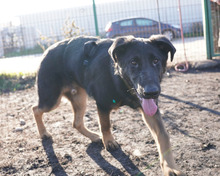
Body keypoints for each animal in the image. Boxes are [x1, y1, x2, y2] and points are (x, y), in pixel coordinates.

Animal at [31, 35, 185, 175]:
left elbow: (163, 136)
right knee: (35, 109)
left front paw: (170, 167)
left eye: (155, 61)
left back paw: (93, 136)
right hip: (51, 100)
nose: (151, 92)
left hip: (79, 98)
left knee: (76, 122)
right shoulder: (102, 104)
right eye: (133, 62)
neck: (120, 80)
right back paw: (43, 133)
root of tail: (47, 50)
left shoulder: (150, 110)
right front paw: (109, 142)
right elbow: (105, 125)